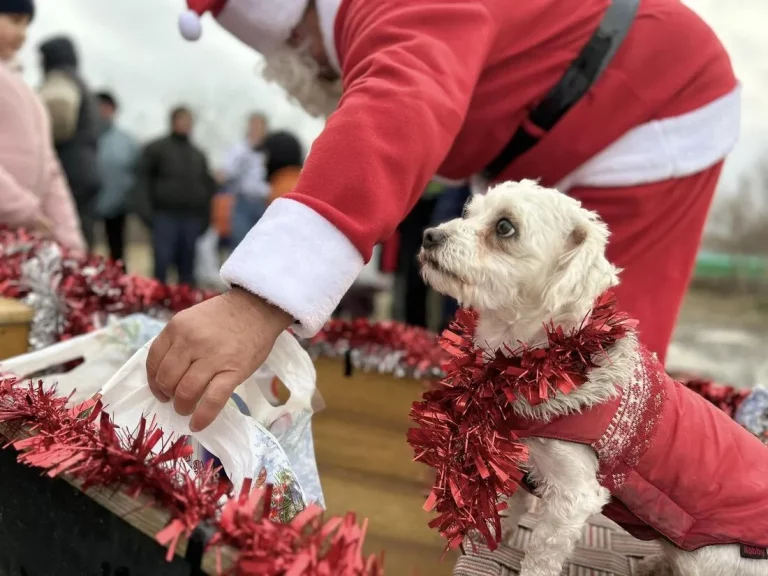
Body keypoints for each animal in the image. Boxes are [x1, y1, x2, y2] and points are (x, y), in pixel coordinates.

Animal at [420, 181, 768, 576]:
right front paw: (493, 539)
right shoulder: (527, 462)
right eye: (469, 212)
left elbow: (541, 553)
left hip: (707, 557)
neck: (541, 365)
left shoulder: (575, 496)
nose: (429, 235)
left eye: (505, 226)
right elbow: (515, 507)